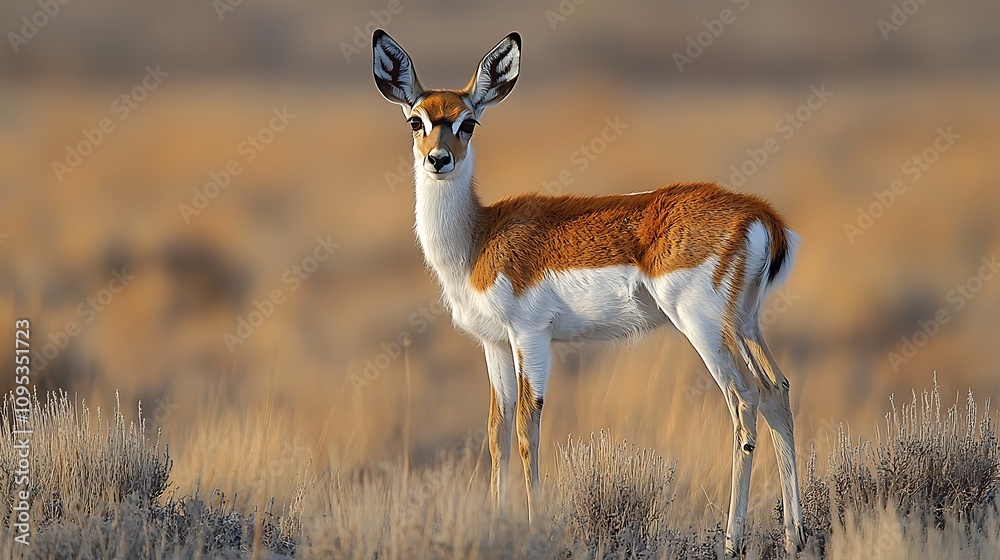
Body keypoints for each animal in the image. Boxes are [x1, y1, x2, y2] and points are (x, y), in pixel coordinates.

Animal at [371, 29, 806, 555]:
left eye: (468, 122)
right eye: (416, 120)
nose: (439, 160)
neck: (477, 239)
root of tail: (760, 213)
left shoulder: (531, 338)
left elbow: (527, 430)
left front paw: (533, 526)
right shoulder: (494, 344)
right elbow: (497, 432)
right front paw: (498, 522)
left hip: (703, 327)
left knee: (744, 400)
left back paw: (731, 541)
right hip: (744, 324)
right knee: (776, 390)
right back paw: (795, 537)